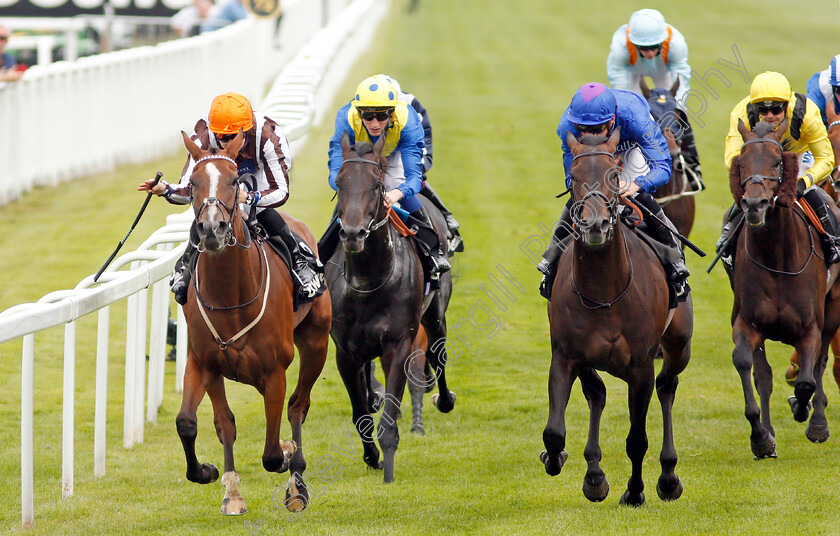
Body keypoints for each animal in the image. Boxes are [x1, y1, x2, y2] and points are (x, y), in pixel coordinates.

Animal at [175, 130, 332, 516]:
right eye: (192, 184)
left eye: (234, 181)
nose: (211, 228)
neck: (230, 297)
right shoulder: (203, 362)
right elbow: (194, 423)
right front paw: (212, 476)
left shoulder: (274, 371)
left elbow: (273, 453)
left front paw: (290, 456)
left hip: (316, 342)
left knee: (298, 405)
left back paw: (297, 484)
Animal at [328, 133, 460, 482]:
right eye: (340, 181)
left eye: (376, 184)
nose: (353, 234)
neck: (368, 280)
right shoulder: (345, 351)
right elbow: (359, 412)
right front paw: (371, 456)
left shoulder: (398, 343)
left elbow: (390, 415)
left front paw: (385, 461)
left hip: (435, 313)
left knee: (438, 352)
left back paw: (442, 396)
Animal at [540, 130, 692, 506]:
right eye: (574, 177)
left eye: (612, 175)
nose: (595, 224)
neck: (605, 290)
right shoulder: (565, 355)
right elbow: (554, 431)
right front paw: (556, 458)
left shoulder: (641, 367)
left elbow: (637, 439)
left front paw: (635, 492)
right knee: (597, 393)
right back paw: (594, 475)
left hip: (678, 346)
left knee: (667, 387)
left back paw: (668, 477)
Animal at [728, 118, 840, 456]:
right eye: (741, 162)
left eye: (778, 162)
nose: (754, 204)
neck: (776, 258)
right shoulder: (747, 322)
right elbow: (747, 365)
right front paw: (761, 436)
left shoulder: (811, 327)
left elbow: (807, 378)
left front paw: (805, 412)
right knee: (764, 375)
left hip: (832, 309)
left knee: (819, 364)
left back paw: (818, 421)